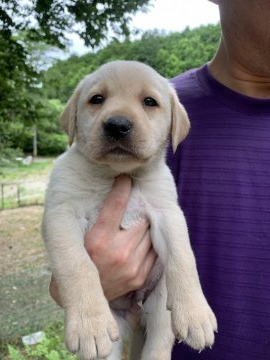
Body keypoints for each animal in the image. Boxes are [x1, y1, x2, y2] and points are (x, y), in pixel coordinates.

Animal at [42, 60, 217, 358]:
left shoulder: (168, 213)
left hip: (160, 308)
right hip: (113, 334)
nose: (118, 125)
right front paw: (89, 326)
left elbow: (184, 259)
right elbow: (77, 265)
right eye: (97, 99)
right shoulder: (61, 213)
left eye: (149, 102)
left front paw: (196, 314)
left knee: (158, 344)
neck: (117, 173)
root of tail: (134, 316)